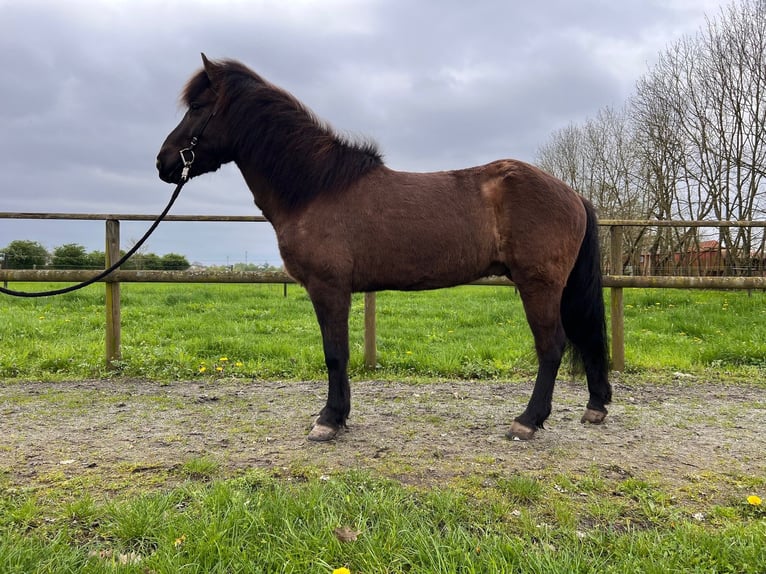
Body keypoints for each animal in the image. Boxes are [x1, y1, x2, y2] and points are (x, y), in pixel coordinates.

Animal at [154, 54, 612, 444]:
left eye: (197, 106)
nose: (163, 162)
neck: (316, 187)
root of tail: (572, 194)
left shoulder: (328, 288)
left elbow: (335, 353)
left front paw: (328, 420)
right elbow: (338, 353)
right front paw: (339, 416)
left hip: (539, 285)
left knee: (552, 346)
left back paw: (527, 421)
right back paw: (595, 406)